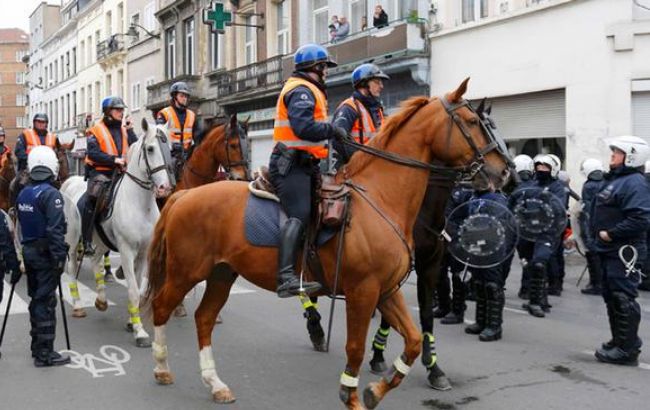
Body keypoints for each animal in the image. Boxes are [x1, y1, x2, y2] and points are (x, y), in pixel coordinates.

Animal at [62, 120, 173, 348]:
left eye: (170, 148)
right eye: (150, 149)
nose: (165, 188)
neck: (140, 204)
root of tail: (69, 181)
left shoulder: (143, 253)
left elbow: (138, 289)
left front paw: (132, 322)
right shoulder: (126, 250)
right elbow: (132, 290)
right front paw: (140, 332)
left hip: (100, 241)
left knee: (96, 261)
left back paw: (101, 300)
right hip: (73, 242)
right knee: (72, 268)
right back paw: (78, 305)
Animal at [144, 78, 508, 408]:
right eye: (473, 122)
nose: (504, 172)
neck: (382, 197)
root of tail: (183, 195)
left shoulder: (387, 290)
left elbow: (415, 340)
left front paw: (378, 389)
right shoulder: (363, 291)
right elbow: (355, 348)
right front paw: (351, 394)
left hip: (221, 274)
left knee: (204, 318)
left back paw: (215, 383)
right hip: (185, 272)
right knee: (162, 306)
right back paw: (161, 367)